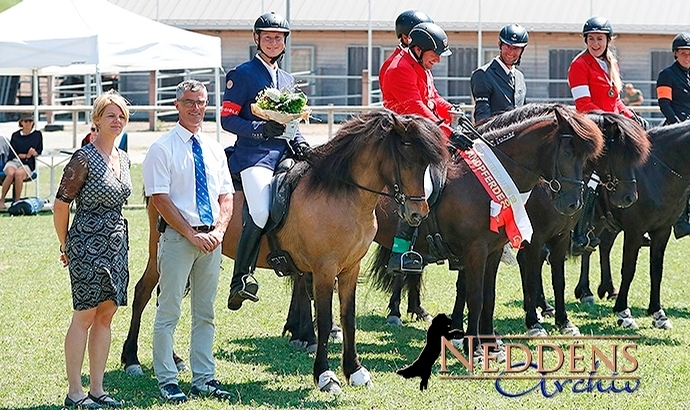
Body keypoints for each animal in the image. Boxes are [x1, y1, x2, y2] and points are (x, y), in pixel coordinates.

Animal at [121, 109, 448, 394]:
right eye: (407, 158)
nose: (418, 213)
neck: (342, 194)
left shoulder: (350, 269)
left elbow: (348, 317)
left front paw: (355, 371)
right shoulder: (324, 271)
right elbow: (325, 321)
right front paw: (325, 376)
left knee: (162, 297)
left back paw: (173, 358)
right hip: (160, 251)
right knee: (144, 293)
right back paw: (132, 359)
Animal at [284, 102, 600, 356]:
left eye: (587, 159)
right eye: (568, 152)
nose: (573, 204)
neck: (485, 182)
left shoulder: (494, 251)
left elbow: (489, 296)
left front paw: (491, 344)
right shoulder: (475, 251)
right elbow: (475, 296)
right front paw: (476, 347)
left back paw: (300, 331)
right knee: (306, 282)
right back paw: (310, 335)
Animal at [520, 112, 648, 336]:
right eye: (619, 154)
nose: (630, 197)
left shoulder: (560, 236)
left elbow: (559, 277)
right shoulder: (534, 239)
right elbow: (534, 275)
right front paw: (534, 322)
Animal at [572, 121, 690, 330]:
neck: (658, 172)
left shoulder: (663, 230)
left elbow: (656, 270)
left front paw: (658, 313)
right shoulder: (634, 231)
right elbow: (628, 270)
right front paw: (624, 313)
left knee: (598, 247)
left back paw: (601, 289)